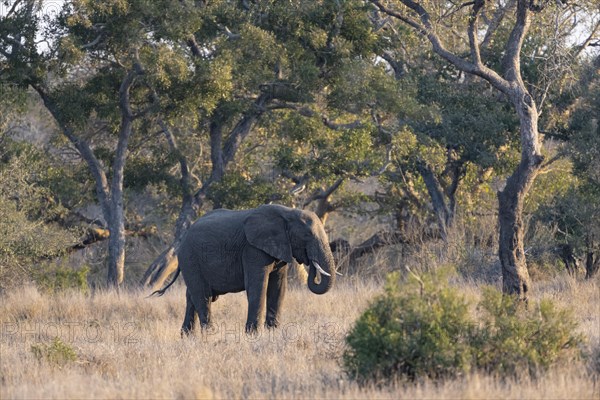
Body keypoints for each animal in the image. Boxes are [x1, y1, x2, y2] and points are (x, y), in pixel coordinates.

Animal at [159, 205, 336, 332]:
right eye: (307, 235)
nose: (311, 261)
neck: (287, 213)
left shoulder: (280, 247)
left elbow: (278, 287)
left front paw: (273, 332)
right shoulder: (252, 249)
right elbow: (257, 286)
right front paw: (253, 334)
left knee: (191, 297)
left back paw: (188, 336)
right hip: (190, 258)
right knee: (202, 295)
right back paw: (210, 334)